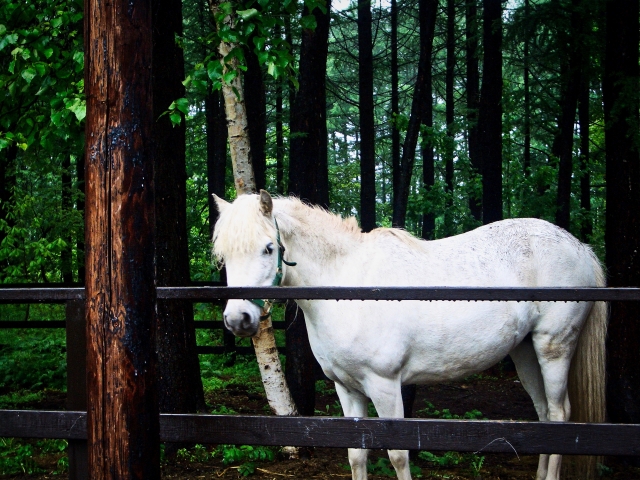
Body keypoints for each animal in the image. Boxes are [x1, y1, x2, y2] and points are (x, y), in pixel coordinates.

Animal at [212, 191, 608, 480]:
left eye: (268, 248)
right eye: (224, 255)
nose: (238, 318)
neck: (349, 284)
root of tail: (580, 249)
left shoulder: (385, 386)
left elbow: (398, 456)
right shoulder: (347, 389)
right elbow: (357, 455)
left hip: (553, 347)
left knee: (559, 414)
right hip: (525, 352)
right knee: (544, 417)